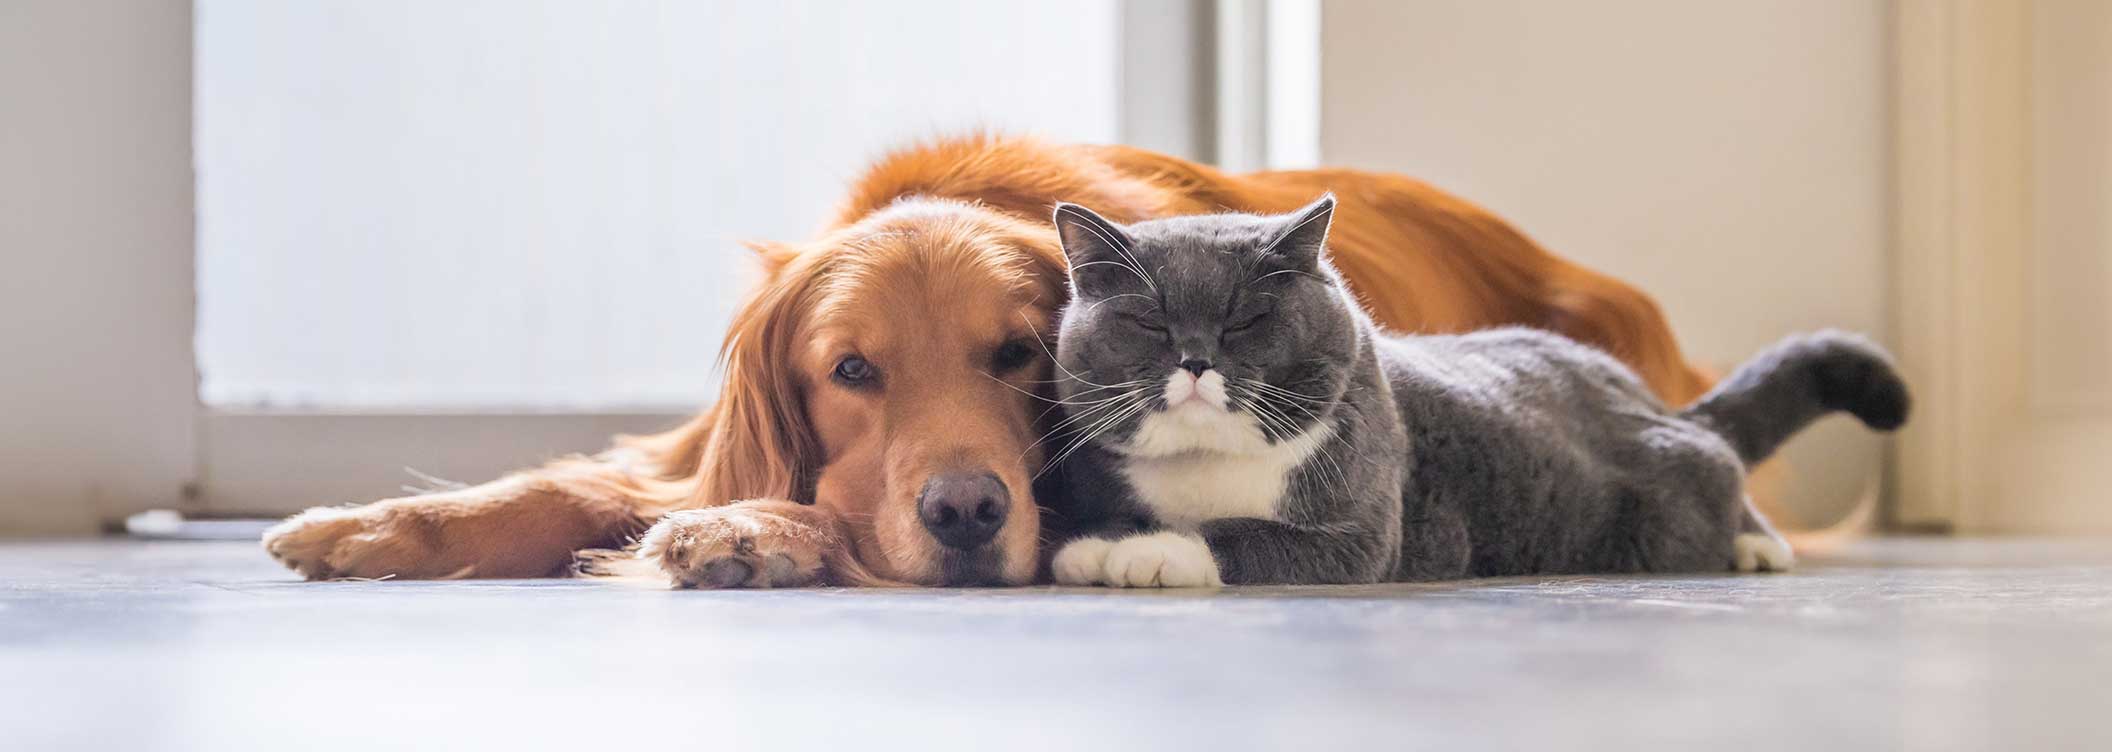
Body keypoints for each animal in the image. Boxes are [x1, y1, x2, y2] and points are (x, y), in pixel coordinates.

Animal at [264, 135, 1723, 587]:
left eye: (1018, 353)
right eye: (850, 372)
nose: (967, 512)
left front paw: (753, 533)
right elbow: (578, 482)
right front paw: (372, 526)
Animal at [1043, 195, 1917, 587]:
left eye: (1247, 320)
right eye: (1150, 324)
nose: (1195, 360)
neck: (1208, 465)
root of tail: (1643, 396)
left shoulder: (1362, 534)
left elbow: (1237, 534)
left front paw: (1138, 554)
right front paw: (1101, 541)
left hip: (1671, 494)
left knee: (1721, 464)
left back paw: (1757, 545)